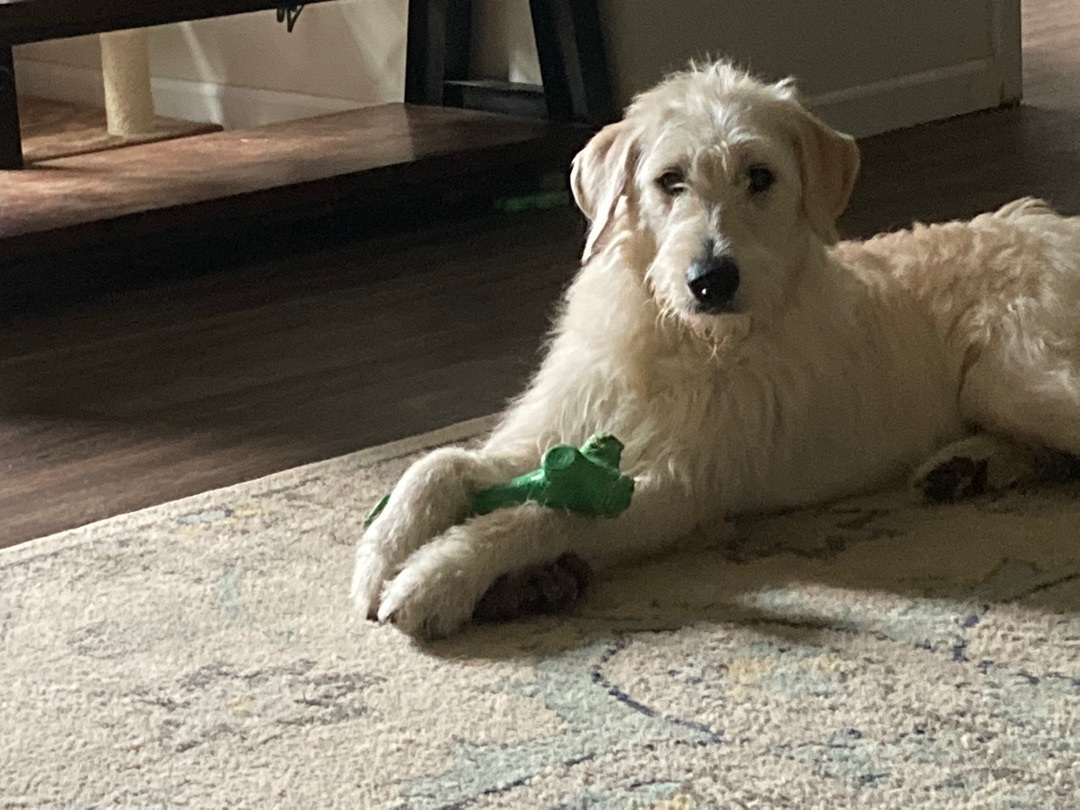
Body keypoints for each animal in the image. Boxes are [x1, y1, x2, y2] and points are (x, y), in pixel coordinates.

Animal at [352, 63, 1080, 639]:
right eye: (669, 179)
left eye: (760, 176)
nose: (710, 280)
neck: (675, 338)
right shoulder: (559, 427)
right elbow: (439, 464)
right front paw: (380, 553)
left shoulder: (678, 489)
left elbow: (544, 512)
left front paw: (436, 578)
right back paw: (968, 466)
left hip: (1013, 377)